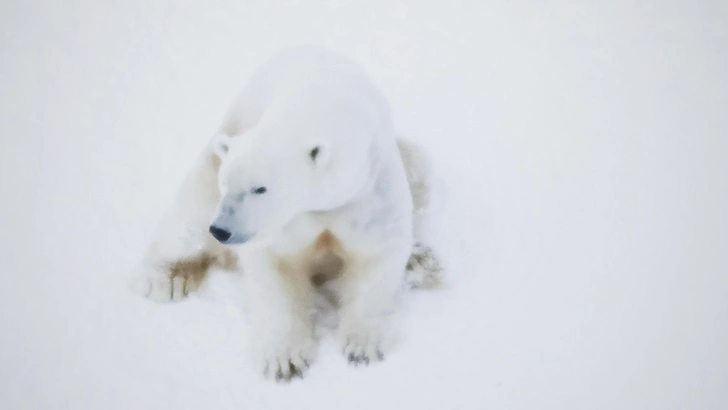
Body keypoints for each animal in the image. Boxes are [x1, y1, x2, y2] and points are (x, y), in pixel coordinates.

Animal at [129, 45, 440, 382]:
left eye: (260, 188)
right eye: (228, 183)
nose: (222, 231)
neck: (322, 100)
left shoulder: (368, 192)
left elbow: (376, 257)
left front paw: (362, 347)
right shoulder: (279, 221)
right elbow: (274, 269)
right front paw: (284, 361)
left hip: (409, 158)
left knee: (419, 170)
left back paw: (422, 262)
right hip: (213, 157)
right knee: (191, 214)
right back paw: (165, 279)